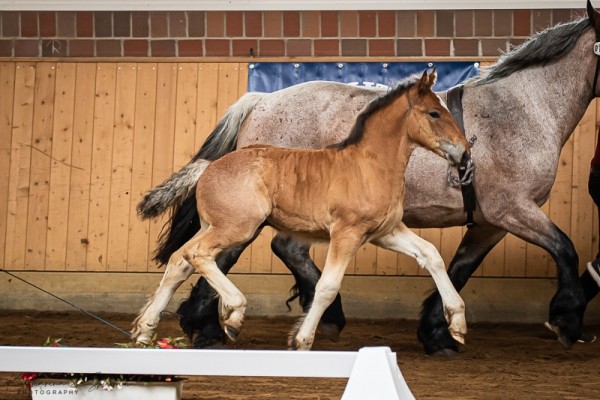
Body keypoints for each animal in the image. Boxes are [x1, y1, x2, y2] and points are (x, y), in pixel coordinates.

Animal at [130, 70, 468, 348]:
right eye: (434, 113)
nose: (464, 152)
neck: (368, 165)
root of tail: (209, 166)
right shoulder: (347, 233)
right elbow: (327, 286)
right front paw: (302, 339)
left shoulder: (386, 232)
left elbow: (431, 255)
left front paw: (457, 323)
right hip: (237, 228)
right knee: (196, 255)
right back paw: (232, 314)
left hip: (213, 226)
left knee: (180, 261)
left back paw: (145, 329)